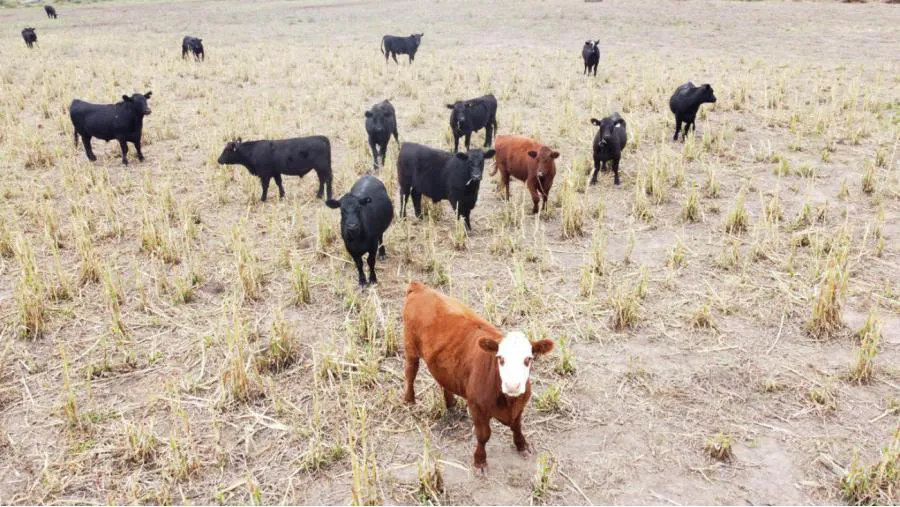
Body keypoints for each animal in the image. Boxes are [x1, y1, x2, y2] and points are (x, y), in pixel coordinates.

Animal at [403, 281, 554, 471]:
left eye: (528, 359)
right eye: (500, 358)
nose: (512, 386)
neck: (508, 401)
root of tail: (420, 287)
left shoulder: (520, 404)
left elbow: (517, 426)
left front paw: (522, 445)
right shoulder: (476, 407)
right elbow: (483, 435)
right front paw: (480, 461)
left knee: (443, 380)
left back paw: (451, 403)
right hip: (410, 347)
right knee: (410, 373)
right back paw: (409, 400)